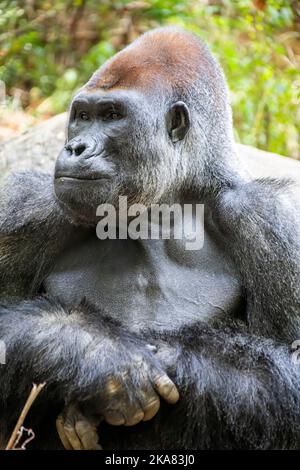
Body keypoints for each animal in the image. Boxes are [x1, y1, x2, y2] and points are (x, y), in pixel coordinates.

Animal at [0, 26, 300, 452]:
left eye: (112, 116)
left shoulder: (273, 224)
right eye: (82, 116)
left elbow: (290, 368)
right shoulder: (26, 211)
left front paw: (167, 356)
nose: (75, 147)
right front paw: (102, 357)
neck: (161, 209)